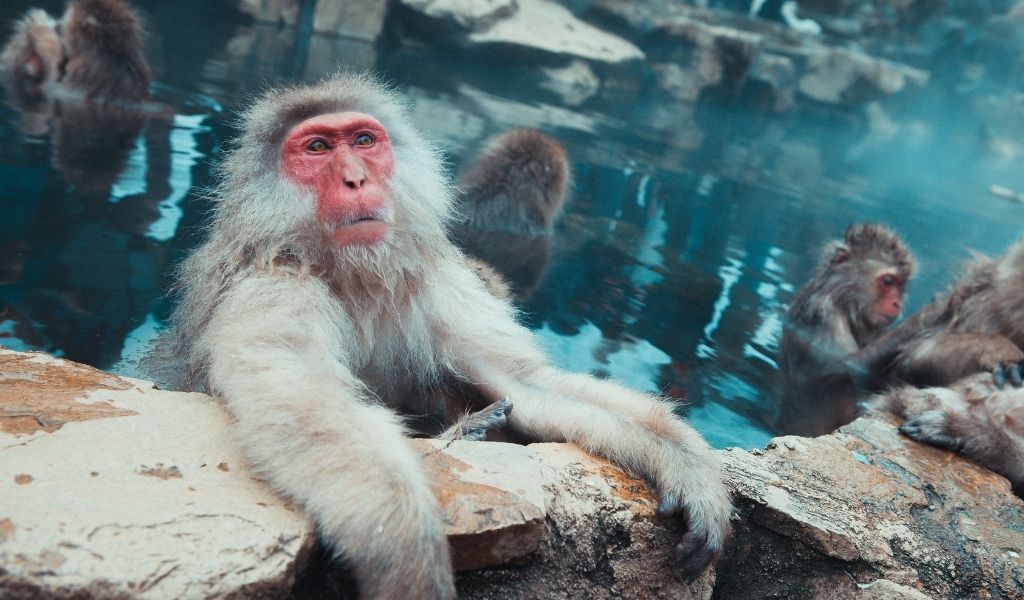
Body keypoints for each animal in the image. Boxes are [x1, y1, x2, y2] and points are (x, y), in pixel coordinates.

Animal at [169, 74, 729, 597]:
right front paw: (406, 549)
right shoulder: (273, 287)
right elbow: (308, 408)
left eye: (364, 141)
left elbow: (528, 382)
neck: (356, 277)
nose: (355, 179)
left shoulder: (436, 284)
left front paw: (683, 462)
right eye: (317, 148)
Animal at [778, 222, 917, 432]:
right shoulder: (824, 315)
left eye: (901, 286)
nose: (897, 303)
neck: (845, 301)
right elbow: (844, 367)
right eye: (888, 281)